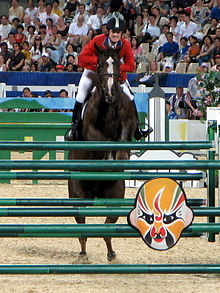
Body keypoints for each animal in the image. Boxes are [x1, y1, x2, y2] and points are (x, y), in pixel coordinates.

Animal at [68, 48, 138, 260]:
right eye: (99, 65)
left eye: (117, 64)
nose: (110, 94)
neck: (108, 107)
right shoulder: (91, 130)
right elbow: (102, 140)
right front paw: (108, 158)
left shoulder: (128, 123)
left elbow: (123, 137)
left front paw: (120, 159)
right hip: (78, 195)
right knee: (81, 225)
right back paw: (83, 253)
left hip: (116, 195)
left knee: (108, 227)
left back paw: (111, 253)